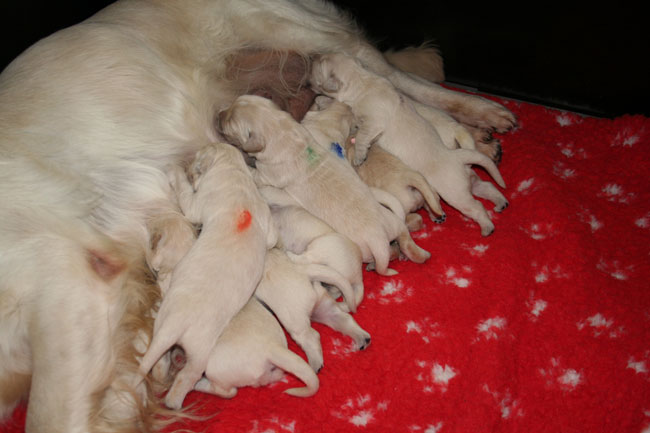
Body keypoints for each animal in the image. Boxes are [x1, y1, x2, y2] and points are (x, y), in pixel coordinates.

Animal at [139, 143, 276, 408]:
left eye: (195, 162)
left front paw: (174, 170)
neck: (234, 172)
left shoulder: (197, 202)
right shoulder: (265, 215)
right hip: (200, 350)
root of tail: (176, 324)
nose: (188, 166)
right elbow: (273, 236)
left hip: (179, 337)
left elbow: (186, 197)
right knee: (185, 376)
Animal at [218, 95, 430, 274]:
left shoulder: (267, 175)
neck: (281, 130)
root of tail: (379, 240)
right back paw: (419, 254)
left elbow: (254, 172)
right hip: (394, 223)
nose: (218, 114)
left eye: (229, 123)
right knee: (405, 241)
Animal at [308, 54, 506, 236]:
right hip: (465, 181)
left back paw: (487, 226)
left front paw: (359, 155)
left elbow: (363, 135)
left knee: (475, 206)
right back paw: (500, 203)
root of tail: (456, 156)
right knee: (484, 186)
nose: (312, 56)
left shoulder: (373, 121)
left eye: (319, 64)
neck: (361, 79)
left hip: (454, 192)